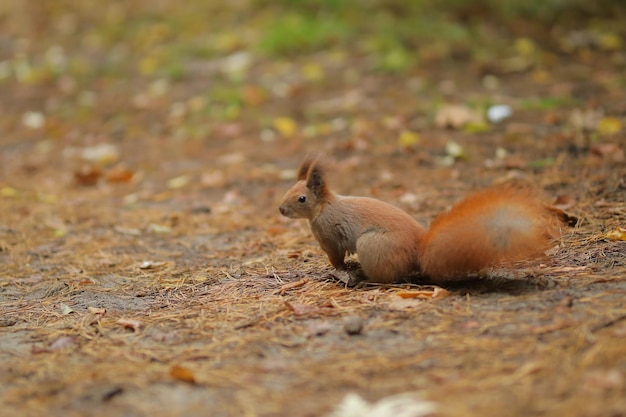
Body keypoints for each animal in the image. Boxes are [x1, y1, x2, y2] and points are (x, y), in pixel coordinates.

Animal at [278, 154, 564, 284]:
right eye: (288, 188)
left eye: (301, 198)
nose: (281, 210)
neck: (323, 207)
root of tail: (419, 251)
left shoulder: (329, 237)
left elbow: (336, 258)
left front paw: (338, 272)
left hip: (372, 245)